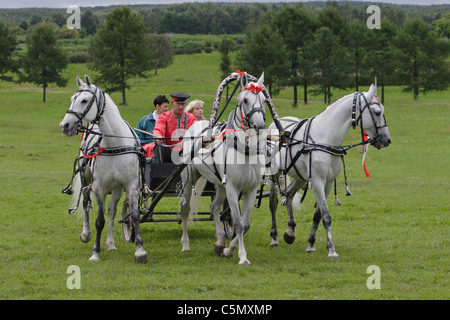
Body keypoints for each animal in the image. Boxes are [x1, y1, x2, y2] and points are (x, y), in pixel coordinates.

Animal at [59, 75, 148, 262]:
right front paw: (95, 252)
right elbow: (99, 220)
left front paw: (140, 251)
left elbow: (133, 215)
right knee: (85, 203)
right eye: (72, 99)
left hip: (117, 189)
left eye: (84, 100)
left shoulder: (131, 186)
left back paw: (111, 243)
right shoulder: (99, 188)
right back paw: (86, 234)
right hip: (86, 179)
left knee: (112, 211)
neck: (114, 144)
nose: (65, 125)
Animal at [179, 72, 268, 264]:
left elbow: (245, 224)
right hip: (189, 180)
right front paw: (242, 256)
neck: (244, 150)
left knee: (213, 208)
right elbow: (239, 224)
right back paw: (185, 244)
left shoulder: (250, 189)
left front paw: (228, 249)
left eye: (264, 100)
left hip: (220, 185)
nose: (259, 126)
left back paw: (219, 241)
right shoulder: (233, 189)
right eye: (245, 100)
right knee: (185, 209)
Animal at [268, 84, 390, 258]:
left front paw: (311, 243)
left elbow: (318, 215)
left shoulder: (329, 183)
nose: (387, 140)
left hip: (300, 177)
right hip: (273, 175)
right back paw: (274, 237)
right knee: (273, 203)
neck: (326, 138)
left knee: (289, 195)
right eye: (378, 112)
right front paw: (332, 249)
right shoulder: (318, 181)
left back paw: (290, 232)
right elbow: (326, 216)